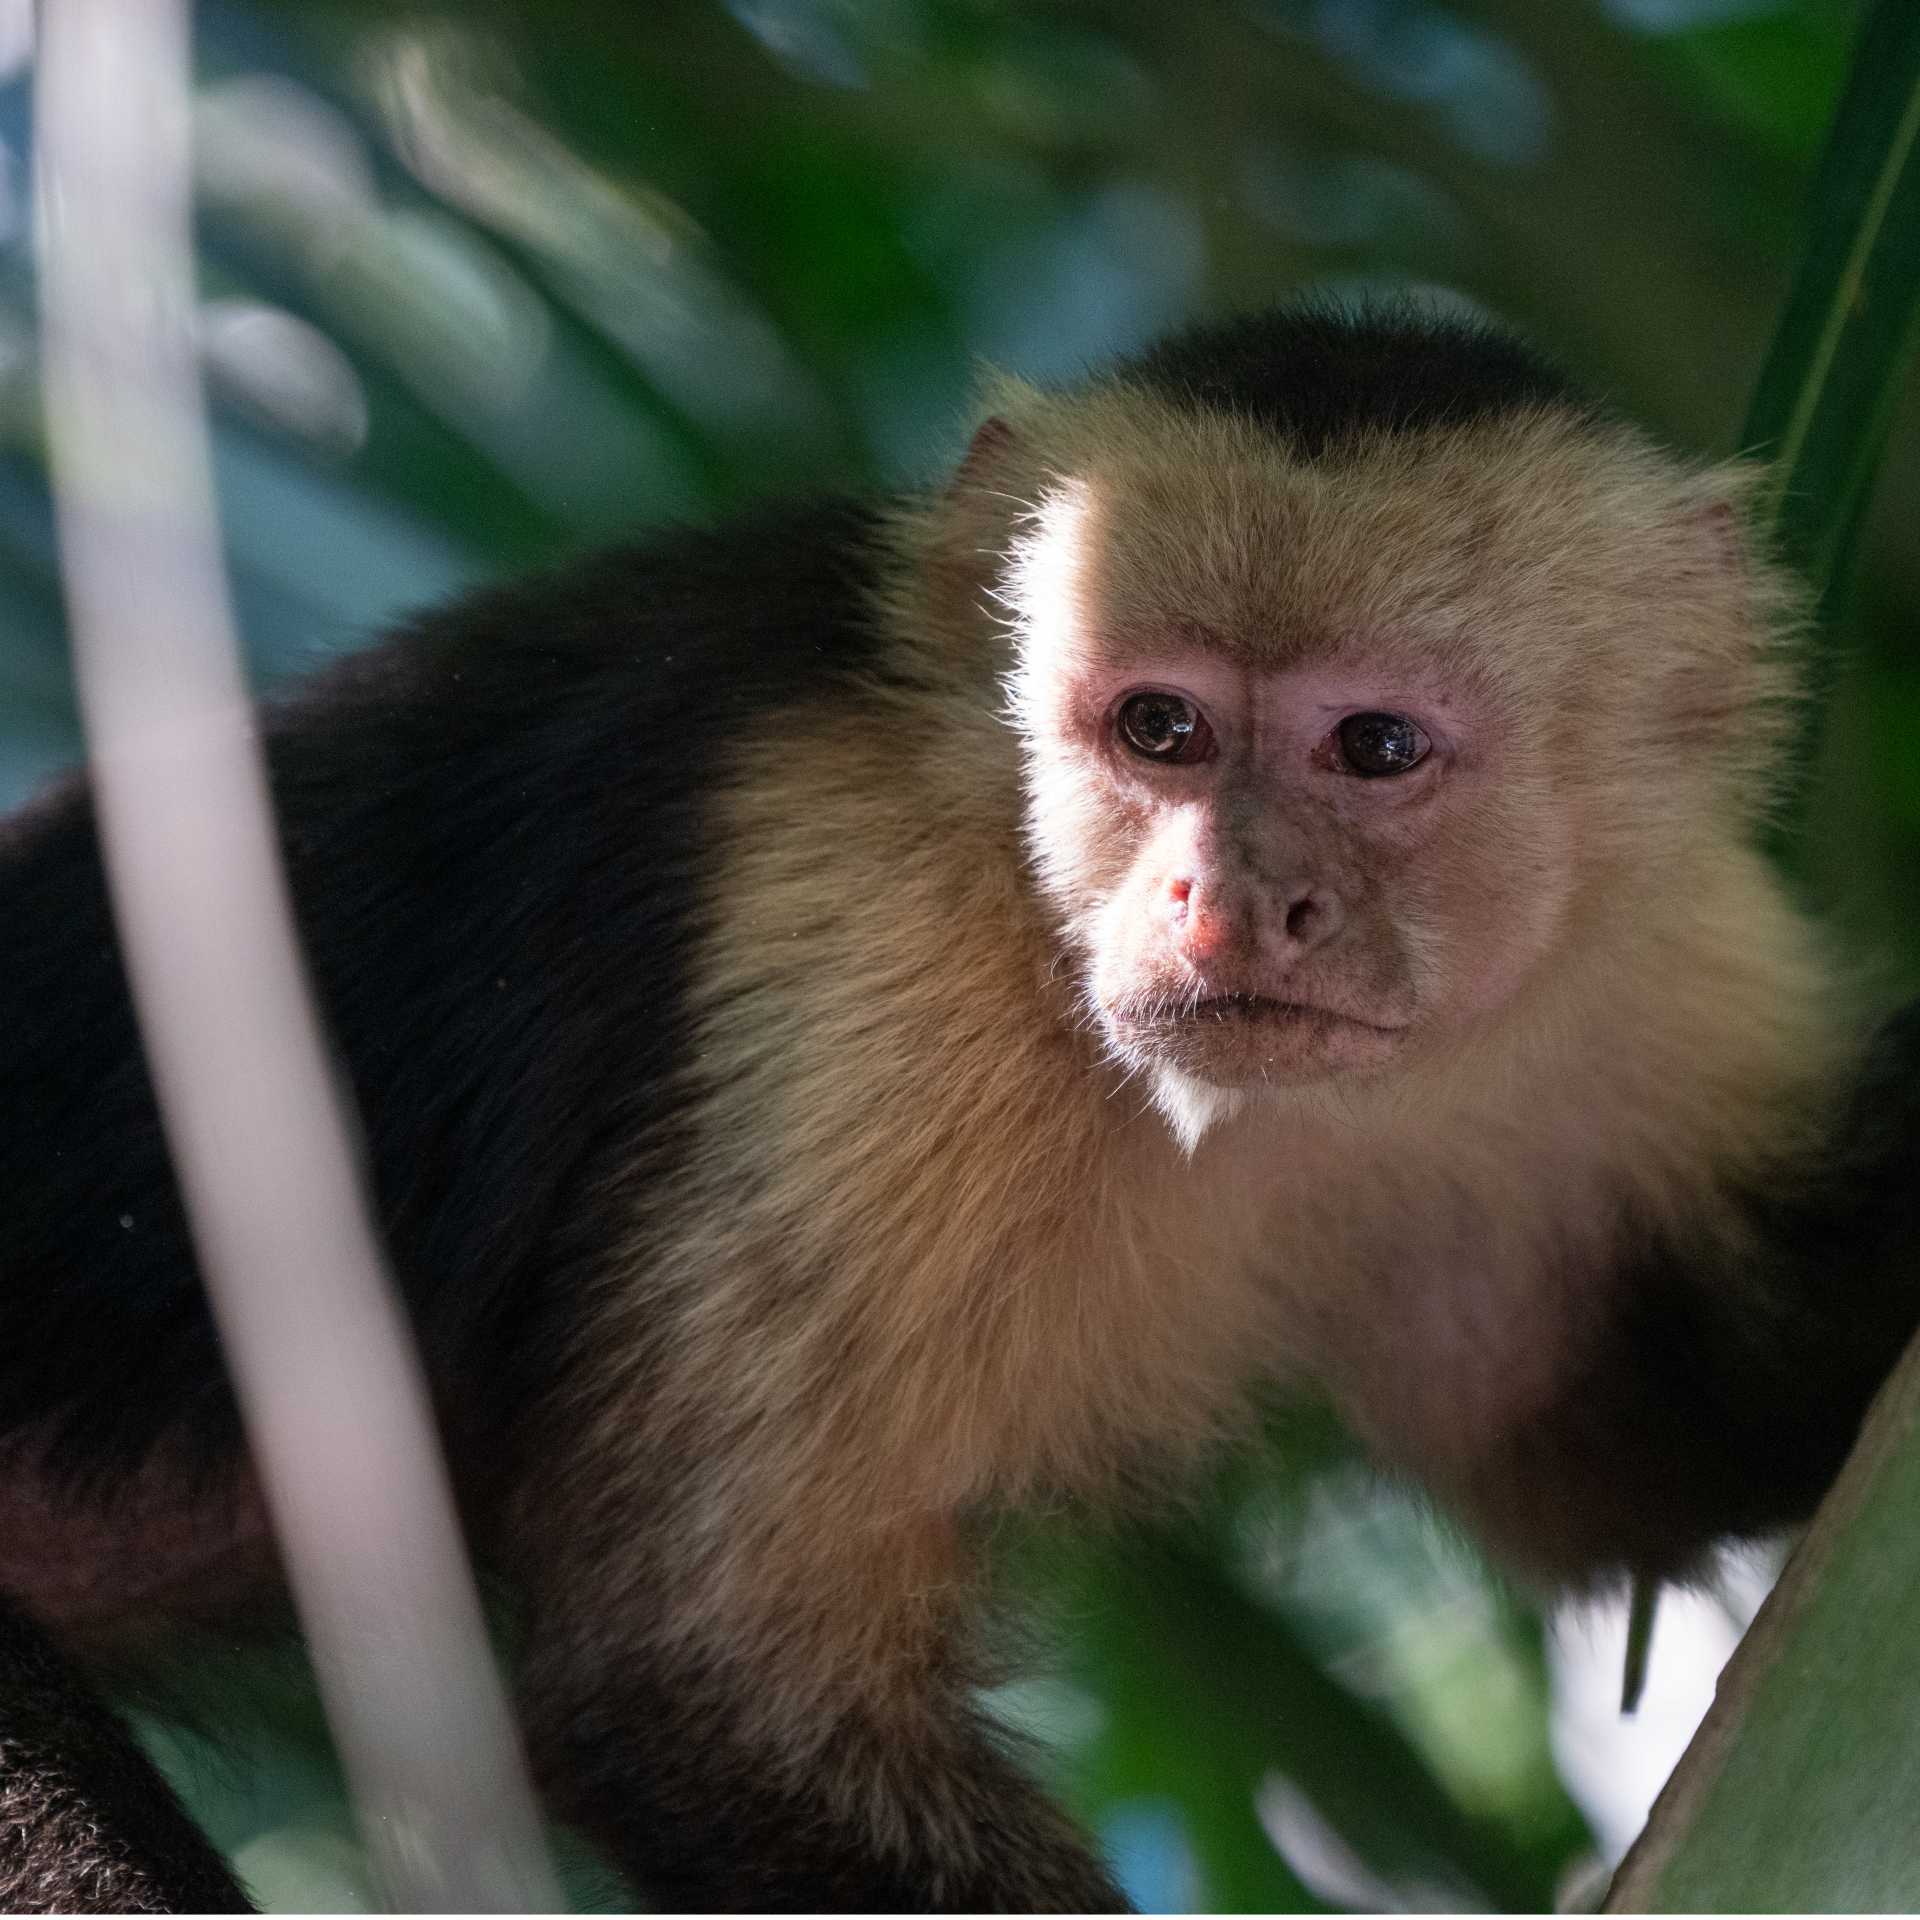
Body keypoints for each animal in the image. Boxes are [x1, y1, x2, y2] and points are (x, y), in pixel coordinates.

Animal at [2, 301, 1919, 1912]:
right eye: (1158, 727)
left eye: (1374, 748)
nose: (1228, 900)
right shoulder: (860, 944)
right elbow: (707, 1676)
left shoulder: (1639, 956)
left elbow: (1609, 1438)